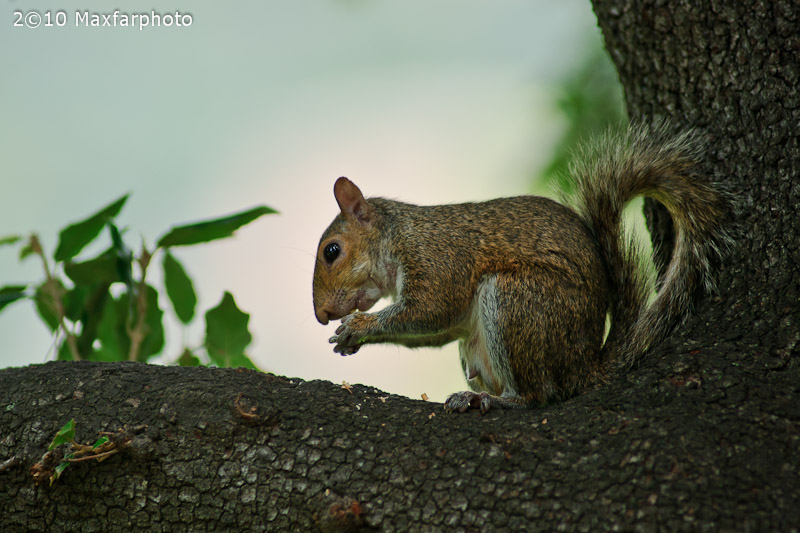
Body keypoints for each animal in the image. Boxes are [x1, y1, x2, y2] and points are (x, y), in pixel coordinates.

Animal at [310, 123, 732, 412]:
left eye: (332, 251)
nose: (321, 315)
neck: (397, 237)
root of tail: (584, 366)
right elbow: (436, 330)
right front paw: (351, 338)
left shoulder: (438, 262)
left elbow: (428, 311)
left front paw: (357, 327)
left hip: (518, 302)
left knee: (538, 394)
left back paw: (497, 400)